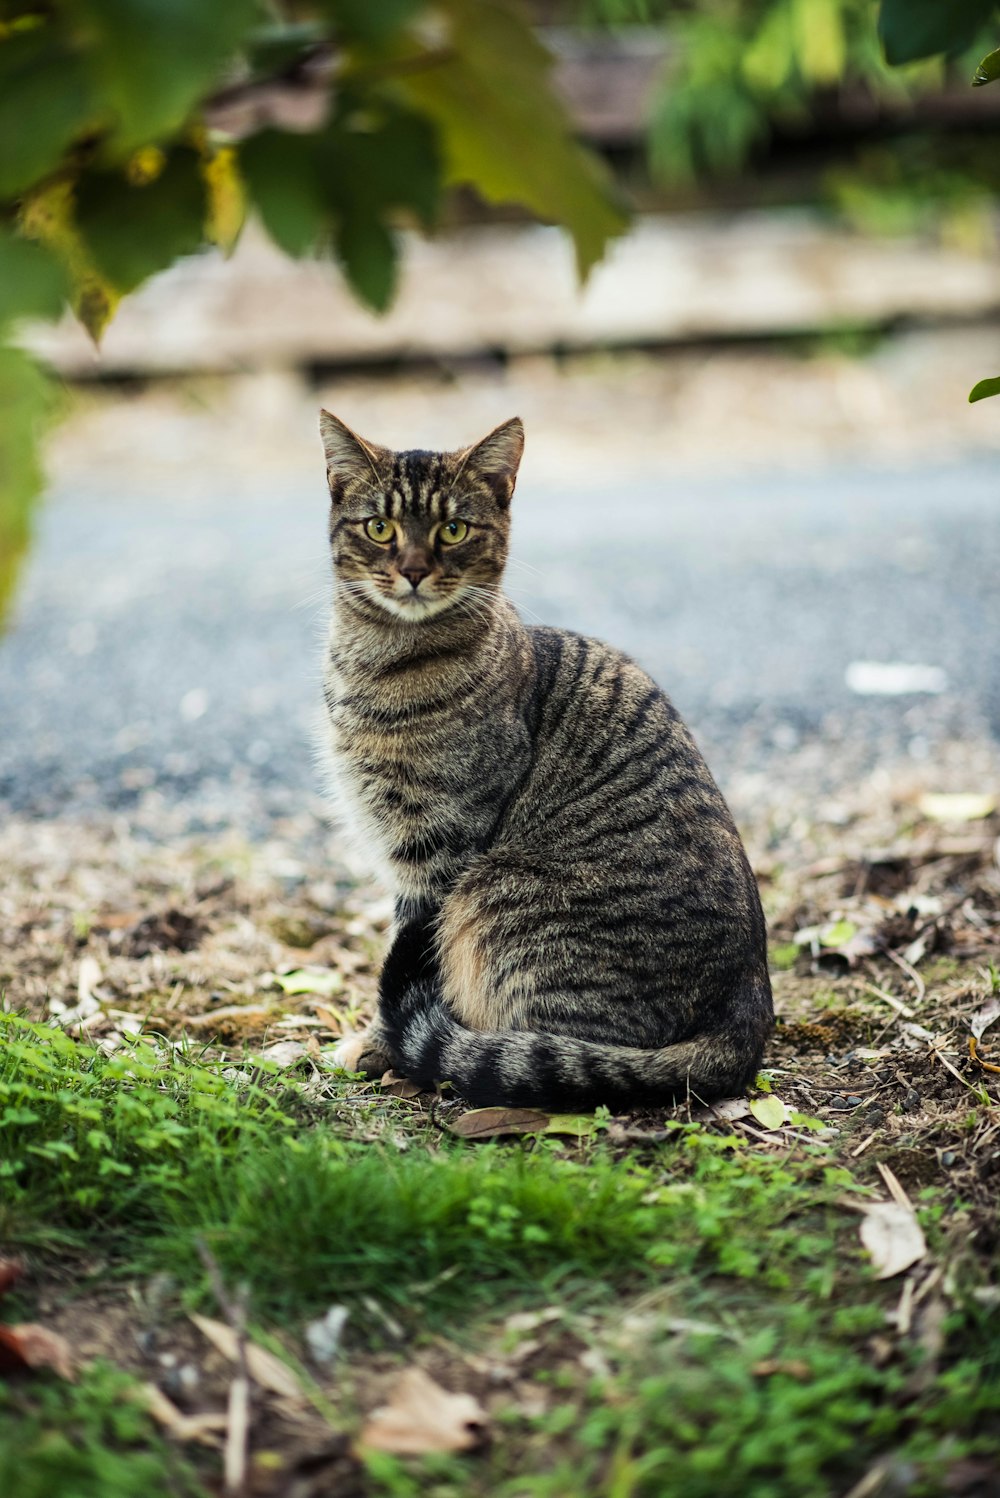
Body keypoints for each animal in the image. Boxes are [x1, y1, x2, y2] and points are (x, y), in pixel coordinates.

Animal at [320, 410, 772, 1114]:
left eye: (452, 529)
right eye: (380, 528)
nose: (415, 570)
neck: (379, 662)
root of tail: (747, 1016)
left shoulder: (439, 853)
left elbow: (412, 957)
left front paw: (378, 1047)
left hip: (495, 900)